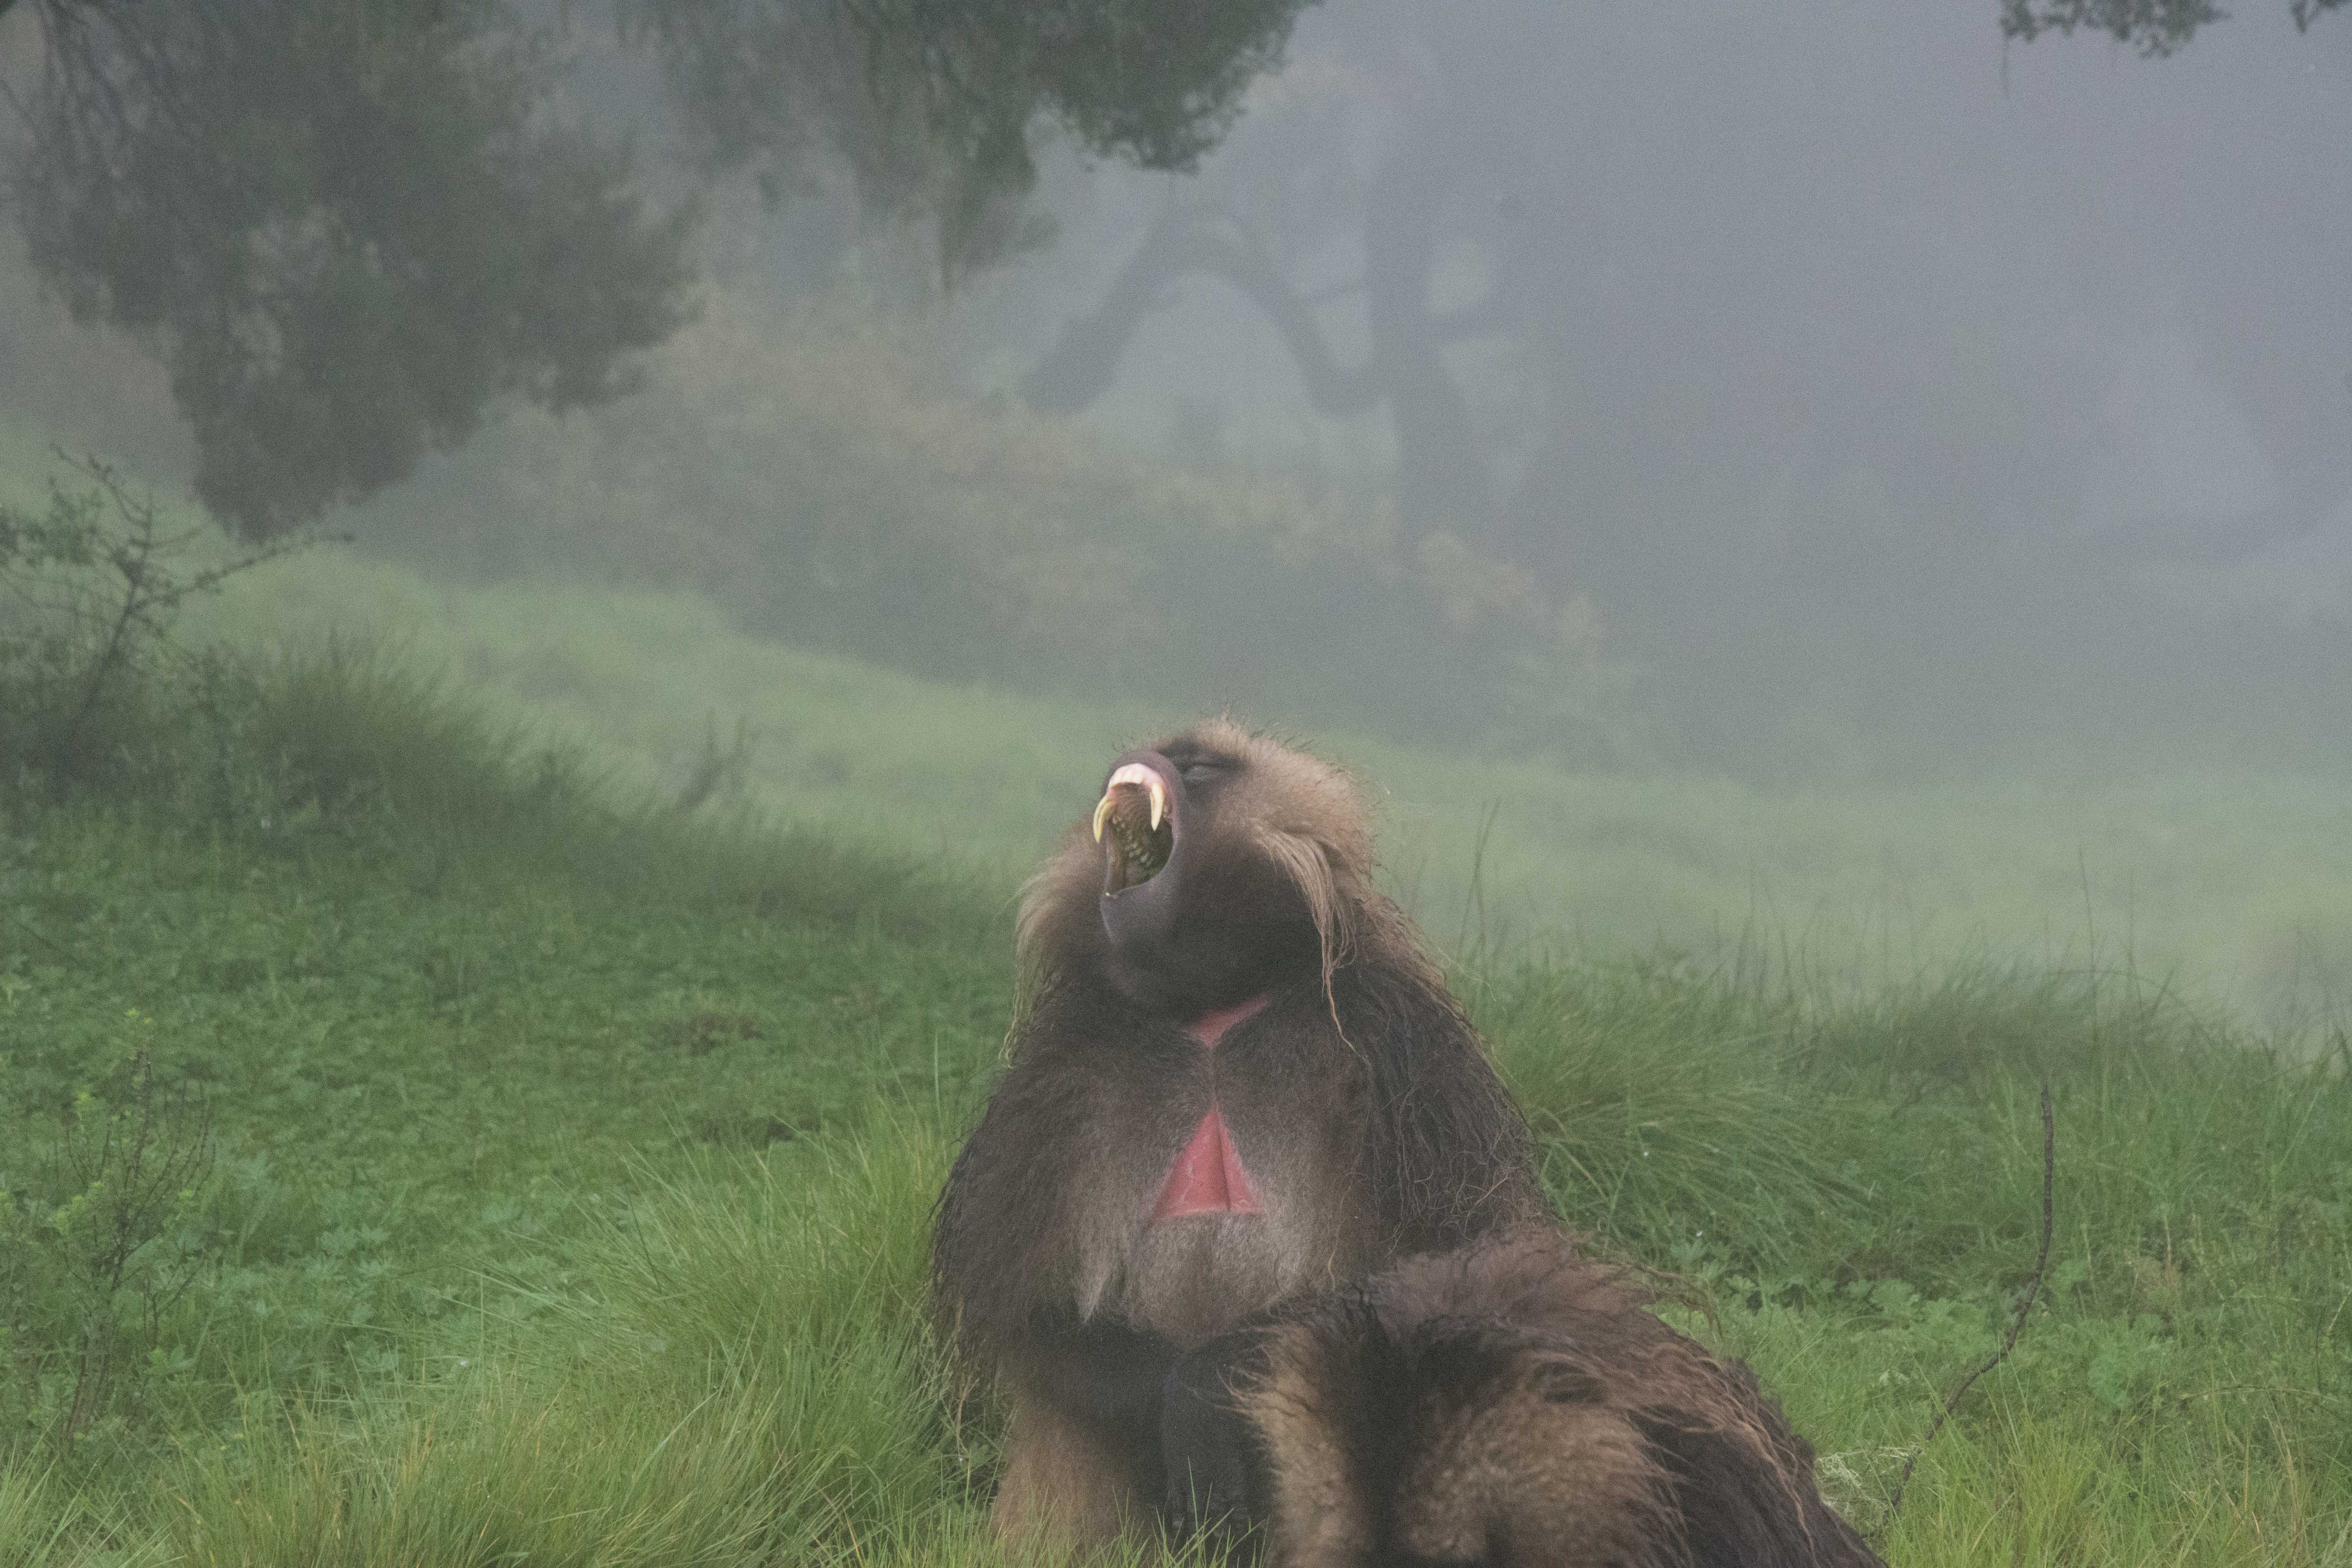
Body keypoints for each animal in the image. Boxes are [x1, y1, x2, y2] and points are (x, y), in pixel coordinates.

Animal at [932, 720, 1548, 1546]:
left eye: (1197, 767)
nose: (1137, 757)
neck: (1212, 1012)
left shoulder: (1404, 1053)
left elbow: (1448, 1283)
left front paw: (1199, 1394)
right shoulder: (1060, 1075)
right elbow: (1032, 1315)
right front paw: (1176, 1405)